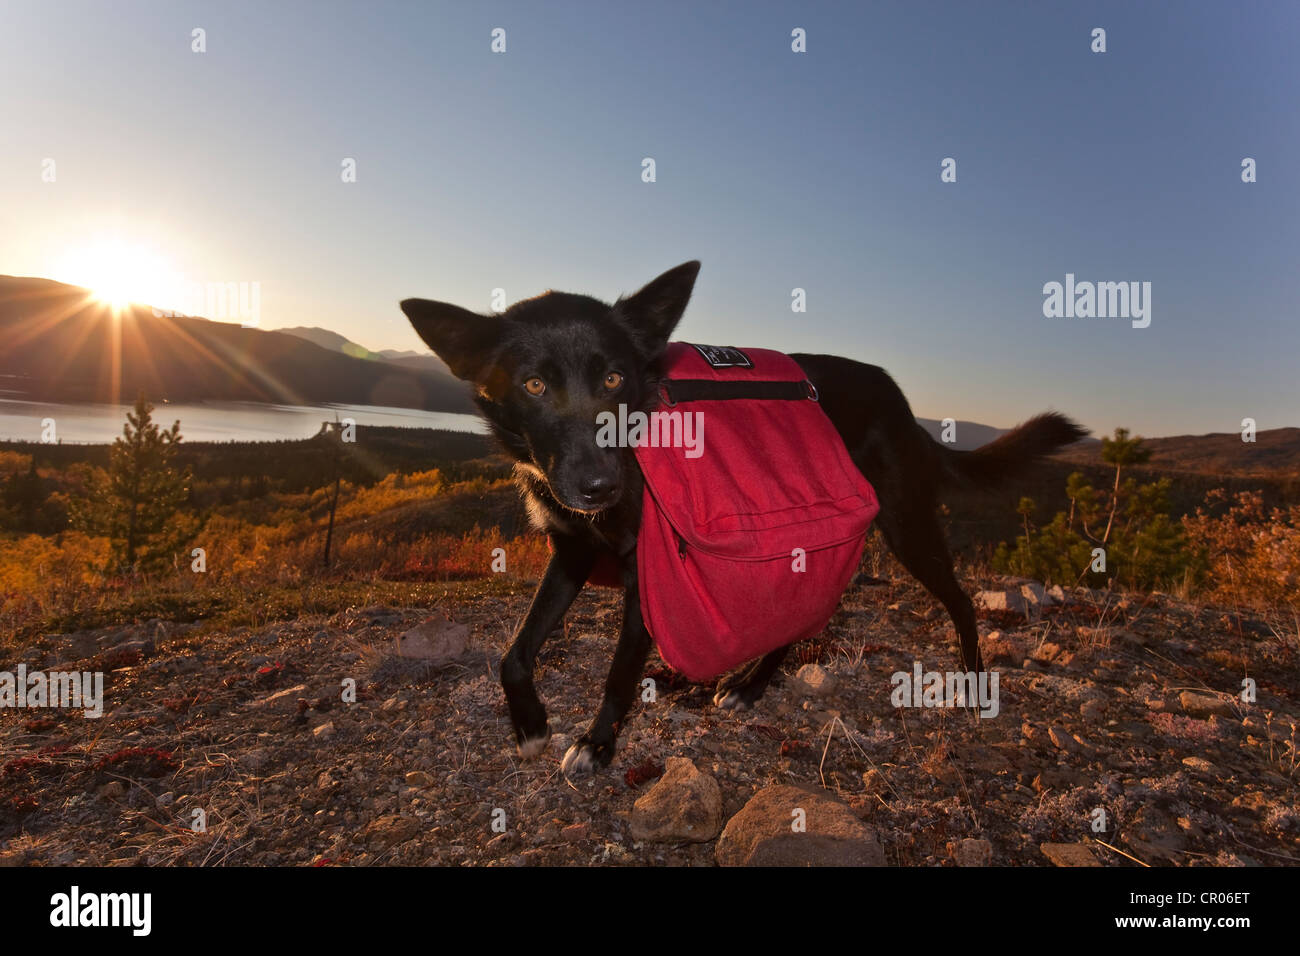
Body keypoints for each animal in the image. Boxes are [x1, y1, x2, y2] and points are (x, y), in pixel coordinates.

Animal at [397, 261, 1086, 780]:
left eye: (615, 377)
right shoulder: (572, 552)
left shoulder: (644, 570)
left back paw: (969, 681)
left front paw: (597, 743)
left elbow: (618, 669)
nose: (600, 485)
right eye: (534, 385)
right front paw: (531, 725)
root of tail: (903, 402)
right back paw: (743, 684)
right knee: (805, 614)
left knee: (958, 600)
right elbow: (513, 654)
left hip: (905, 525)